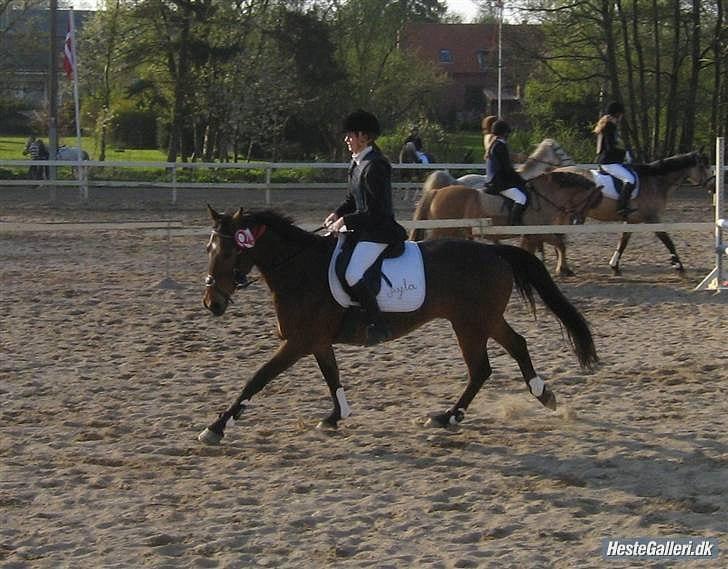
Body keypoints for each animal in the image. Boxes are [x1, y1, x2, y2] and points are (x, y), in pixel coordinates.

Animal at [198, 205, 596, 444]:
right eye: (208, 250)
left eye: (230, 251)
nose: (211, 304)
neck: (299, 268)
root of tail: (492, 250)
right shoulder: (317, 342)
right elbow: (332, 377)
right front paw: (335, 417)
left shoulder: (298, 342)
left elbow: (257, 378)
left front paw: (216, 426)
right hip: (483, 320)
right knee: (515, 346)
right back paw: (541, 396)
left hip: (470, 324)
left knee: (482, 368)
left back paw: (448, 417)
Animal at [410, 172, 604, 276]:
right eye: (590, 201)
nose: (579, 220)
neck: (543, 197)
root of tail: (436, 192)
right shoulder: (539, 232)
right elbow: (561, 245)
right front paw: (563, 269)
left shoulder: (532, 235)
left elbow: (535, 250)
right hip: (443, 229)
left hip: (453, 231)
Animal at [552, 151, 712, 276]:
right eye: (704, 166)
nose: (713, 186)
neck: (655, 182)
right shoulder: (652, 218)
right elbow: (667, 240)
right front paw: (679, 266)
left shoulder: (632, 220)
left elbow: (623, 241)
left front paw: (614, 266)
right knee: (558, 238)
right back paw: (563, 268)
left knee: (558, 238)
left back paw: (563, 267)